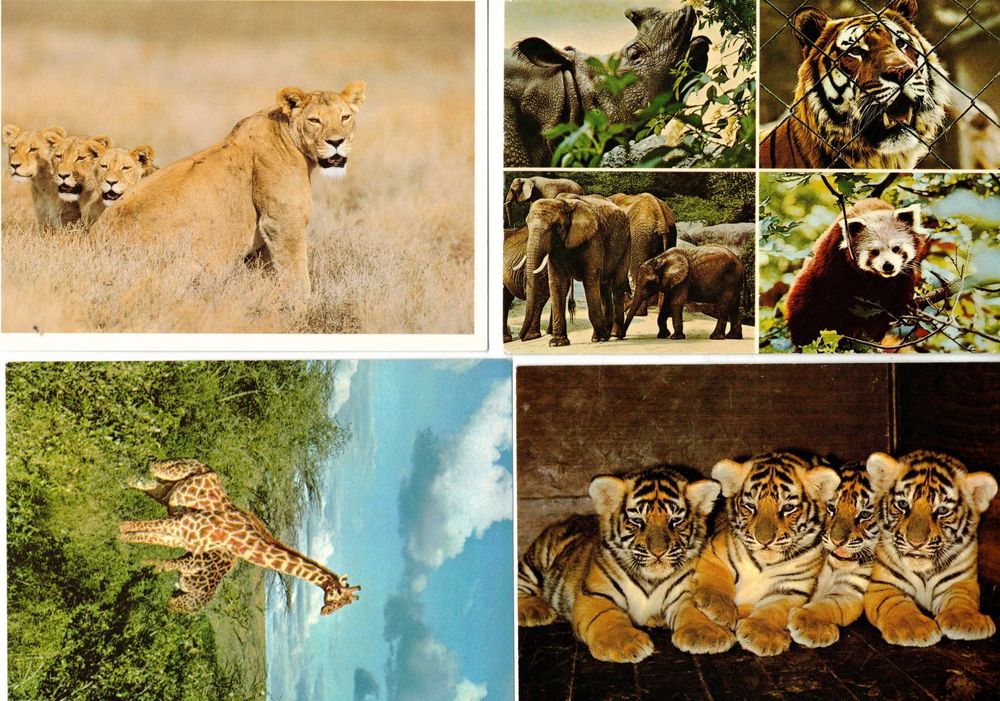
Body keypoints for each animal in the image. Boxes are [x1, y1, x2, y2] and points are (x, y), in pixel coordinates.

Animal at [517, 465, 733, 662]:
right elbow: (606, 616)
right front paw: (624, 642)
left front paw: (707, 634)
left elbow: (694, 610)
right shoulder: (595, 595)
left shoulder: (682, 593)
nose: (658, 552)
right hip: (537, 560)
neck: (650, 580)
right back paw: (535, 610)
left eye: (675, 520)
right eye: (637, 521)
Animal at [691, 452, 840, 656]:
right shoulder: (714, 550)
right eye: (750, 506)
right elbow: (716, 577)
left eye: (788, 508)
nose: (764, 540)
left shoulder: (792, 587)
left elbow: (774, 608)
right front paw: (718, 606)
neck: (764, 565)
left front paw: (762, 633)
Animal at [788, 459, 892, 647]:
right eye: (831, 508)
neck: (835, 567)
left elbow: (829, 604)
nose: (837, 541)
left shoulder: (850, 589)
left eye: (865, 514)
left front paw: (808, 624)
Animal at [864, 450, 998, 647]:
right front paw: (913, 627)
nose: (915, 542)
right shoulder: (883, 585)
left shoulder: (962, 581)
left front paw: (966, 621)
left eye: (942, 510)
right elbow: (896, 603)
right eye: (903, 504)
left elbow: (961, 597)